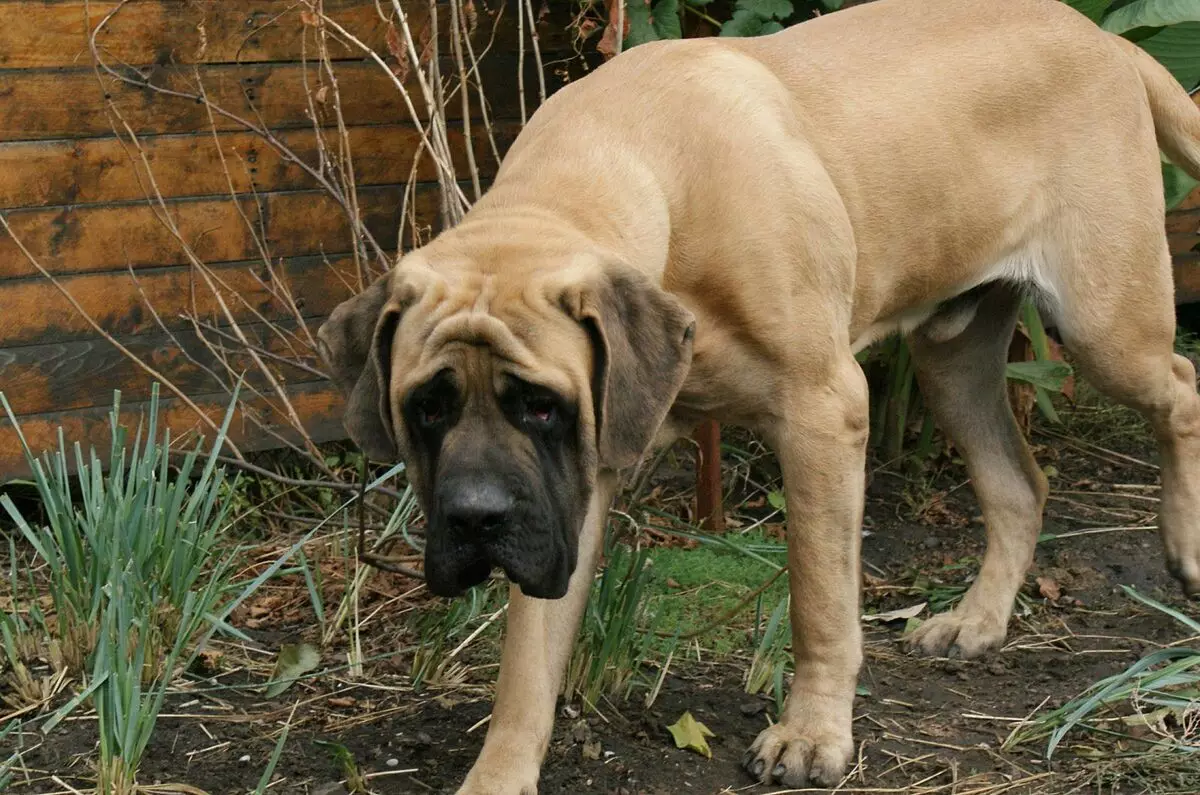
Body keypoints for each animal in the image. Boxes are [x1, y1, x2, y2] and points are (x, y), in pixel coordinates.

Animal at [319, 1, 1200, 792]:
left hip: (1105, 323)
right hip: (953, 358)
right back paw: (977, 621)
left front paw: (811, 734)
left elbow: (819, 598)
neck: (647, 173)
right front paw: (498, 773)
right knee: (1020, 483)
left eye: (539, 404)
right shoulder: (572, 487)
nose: (475, 517)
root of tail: (1106, 42)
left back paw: (1186, 549)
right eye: (427, 406)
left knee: (1182, 392)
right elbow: (528, 661)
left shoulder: (821, 412)